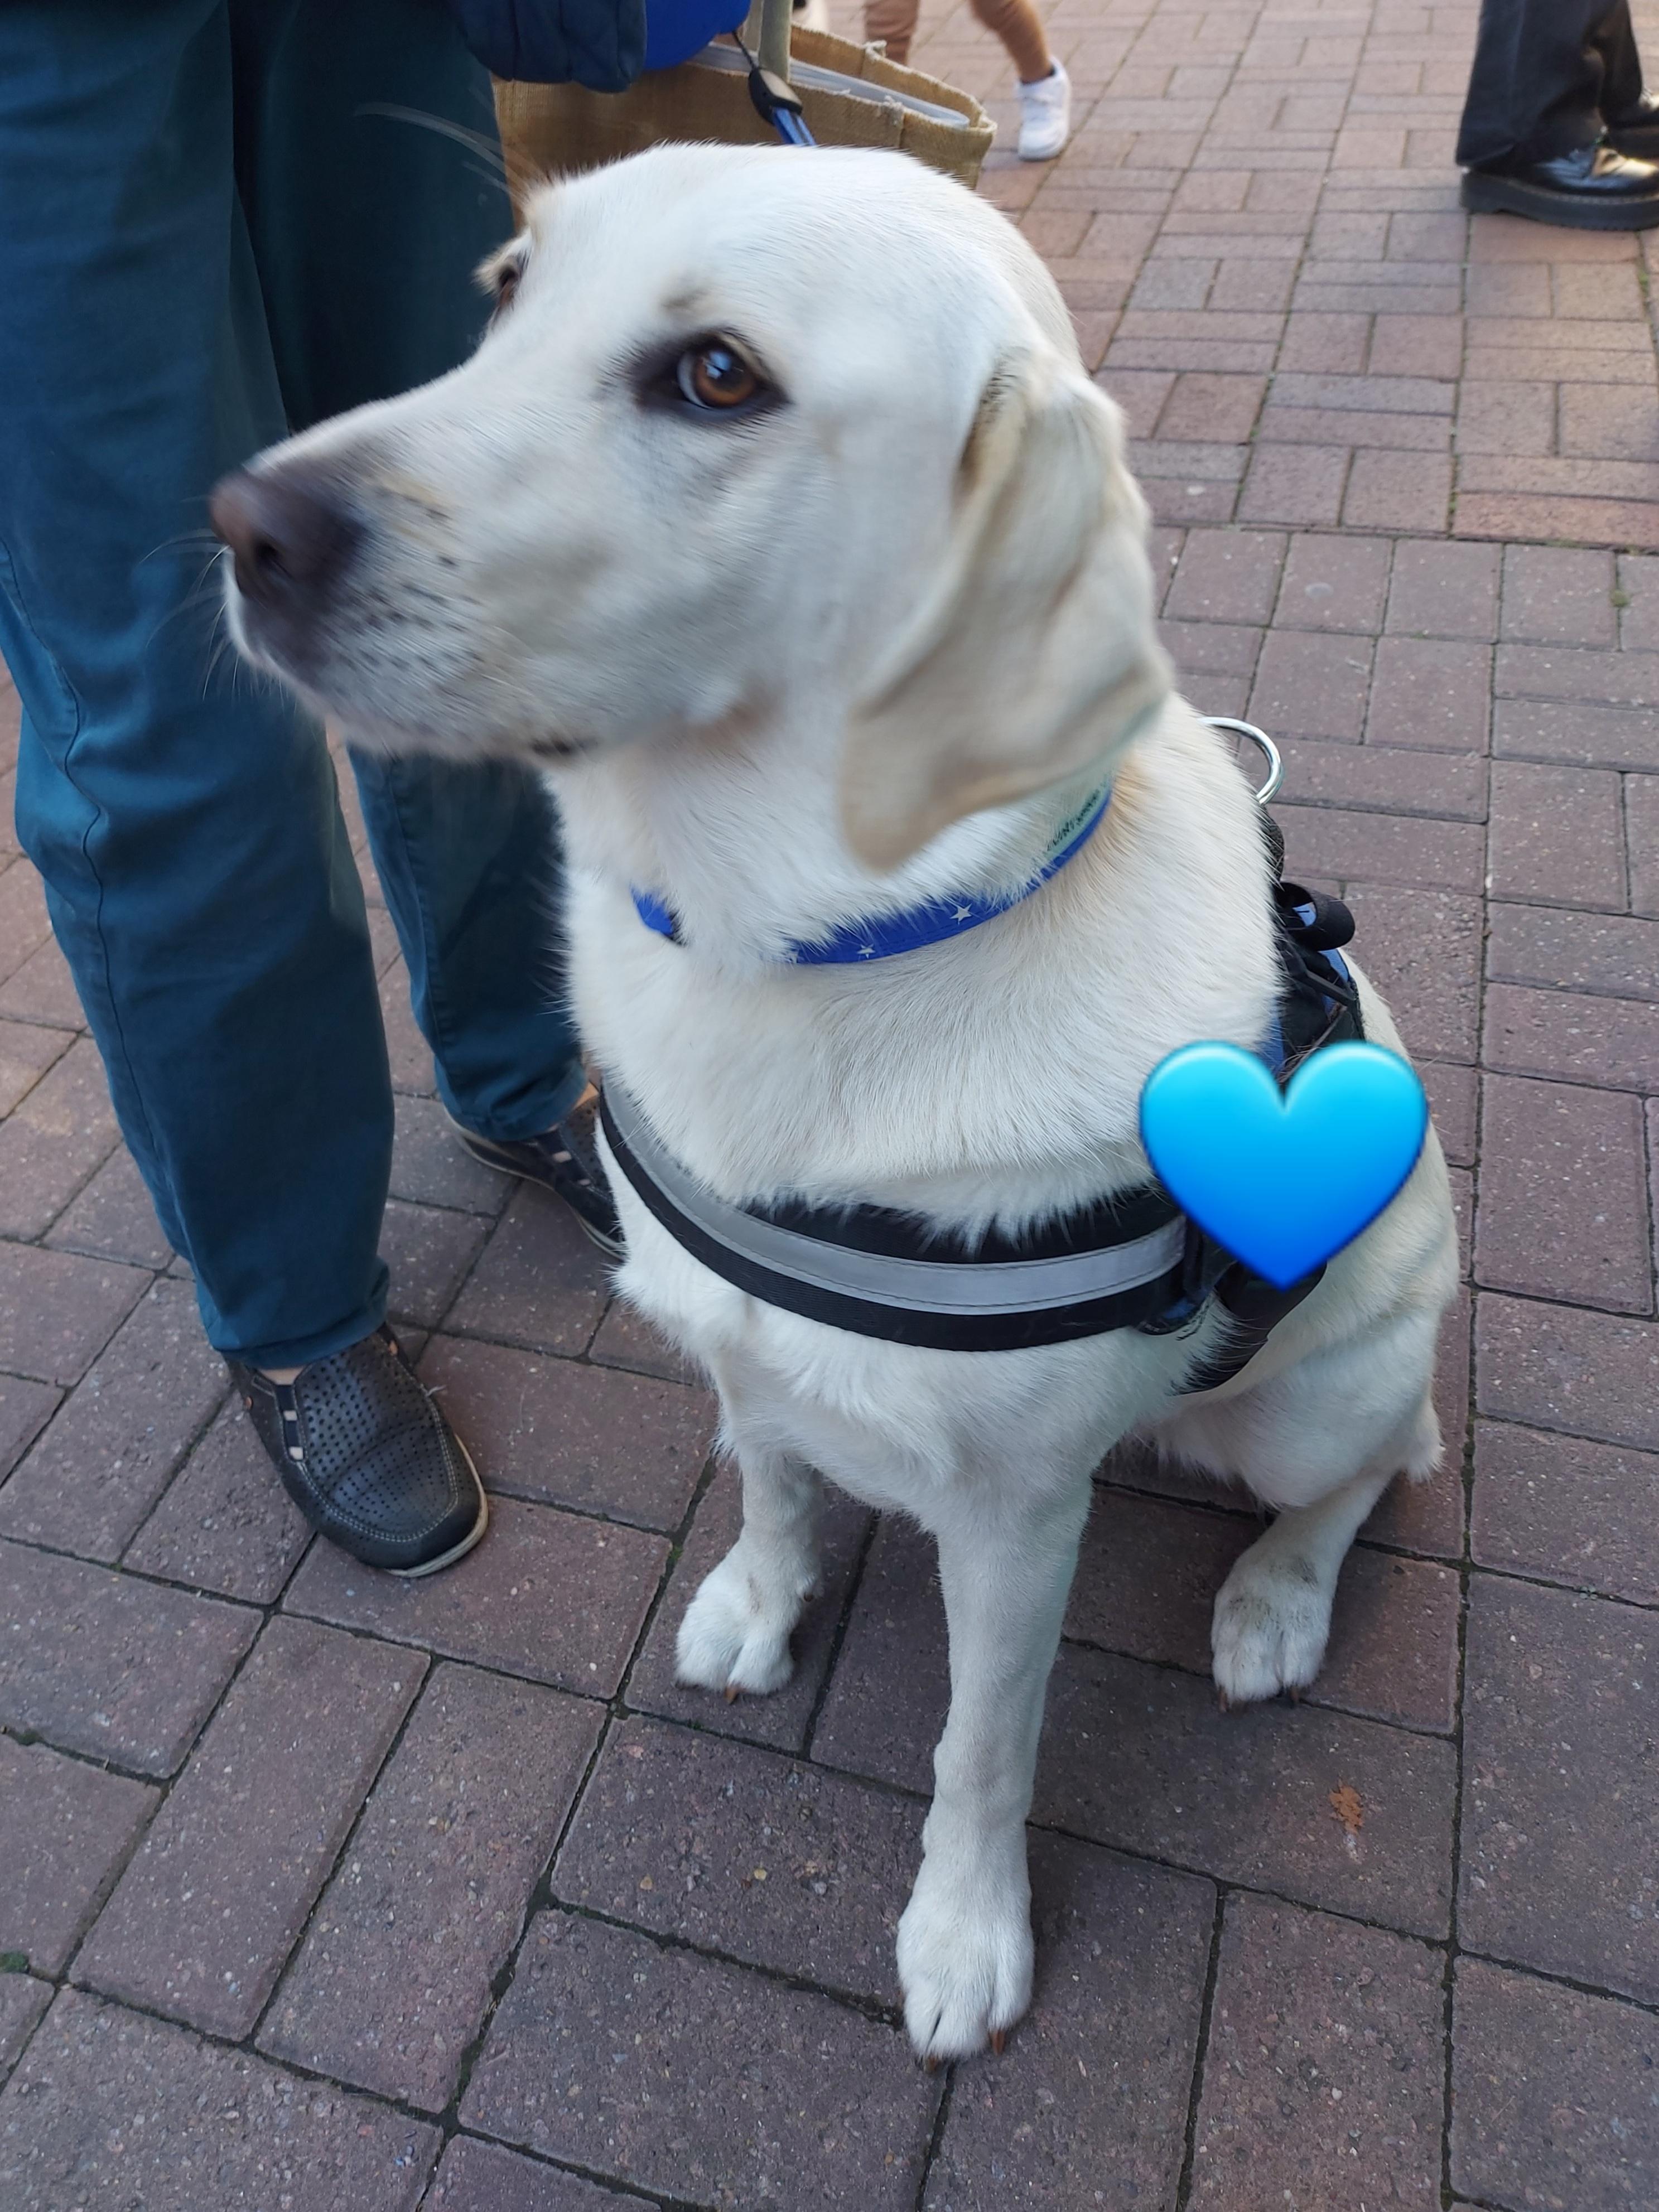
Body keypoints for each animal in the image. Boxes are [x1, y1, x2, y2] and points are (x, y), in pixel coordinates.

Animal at [218, 147, 1451, 2061]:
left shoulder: (1016, 1522)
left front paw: (963, 1934)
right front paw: (754, 1596)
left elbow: (978, 1750)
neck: (796, 954)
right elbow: (774, 1486)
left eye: (718, 376)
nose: (239, 524)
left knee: (1368, 1474)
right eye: (504, 287)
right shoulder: (734, 1347)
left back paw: (1270, 1604)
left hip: (1322, 1402)